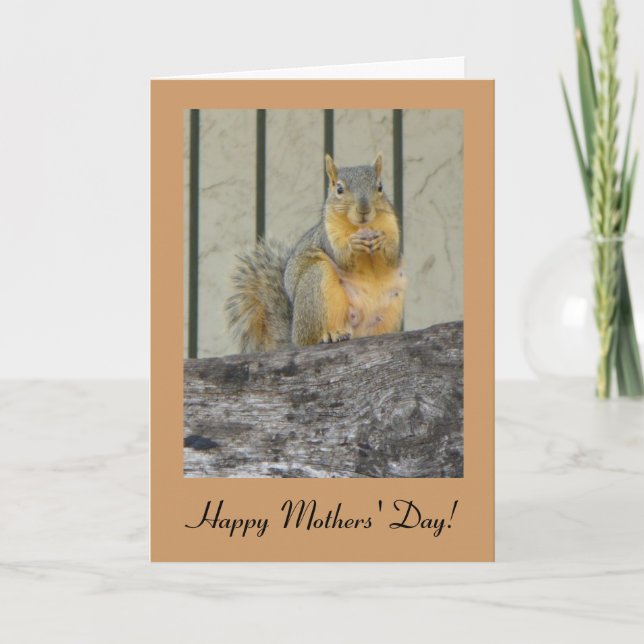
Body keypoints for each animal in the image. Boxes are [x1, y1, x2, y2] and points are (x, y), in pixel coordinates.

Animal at [225, 153, 406, 353]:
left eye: (380, 187)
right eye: (339, 189)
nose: (364, 210)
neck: (361, 227)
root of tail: (293, 336)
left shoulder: (391, 226)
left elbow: (392, 258)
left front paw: (383, 241)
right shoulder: (327, 237)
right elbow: (344, 259)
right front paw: (353, 244)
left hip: (392, 305)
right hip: (316, 287)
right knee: (309, 338)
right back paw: (330, 335)